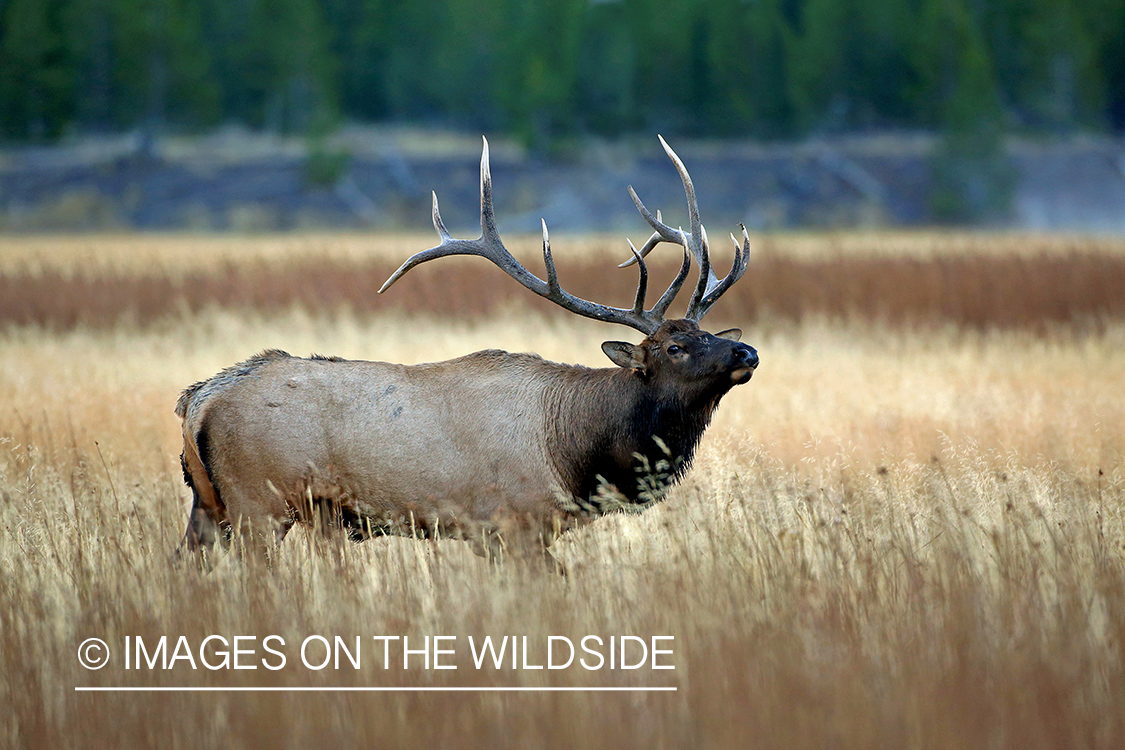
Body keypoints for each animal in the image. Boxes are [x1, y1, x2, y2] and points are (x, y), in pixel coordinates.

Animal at [176, 136, 758, 571]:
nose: (747, 352)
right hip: (258, 502)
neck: (575, 453)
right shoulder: (512, 522)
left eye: (711, 334)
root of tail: (199, 400)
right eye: (675, 347)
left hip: (210, 504)